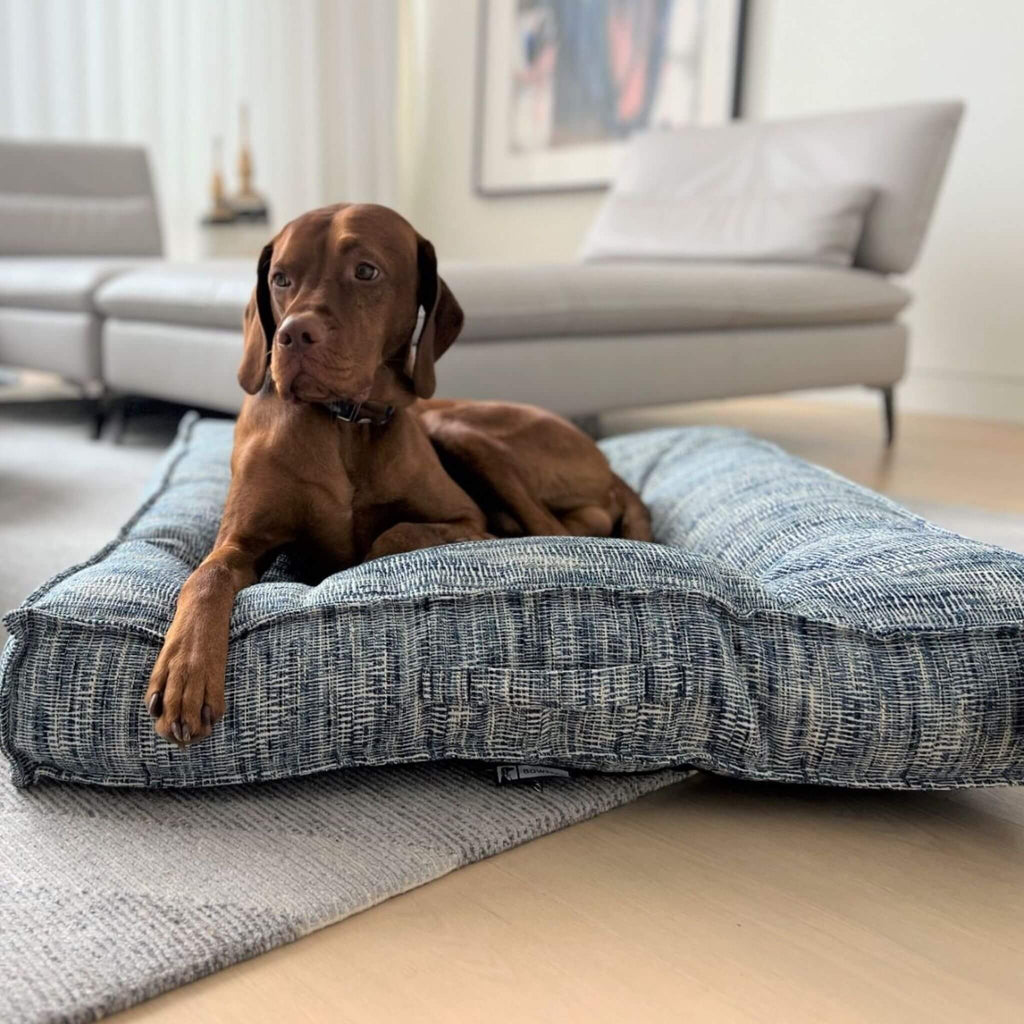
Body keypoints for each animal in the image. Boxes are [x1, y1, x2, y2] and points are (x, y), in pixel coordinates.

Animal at [146, 201, 647, 745]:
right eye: (280, 278)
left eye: (366, 271)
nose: (292, 335)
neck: (344, 426)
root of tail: (609, 466)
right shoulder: (240, 540)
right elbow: (207, 574)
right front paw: (186, 670)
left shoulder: (463, 518)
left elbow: (391, 537)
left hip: (460, 429)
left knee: (556, 527)